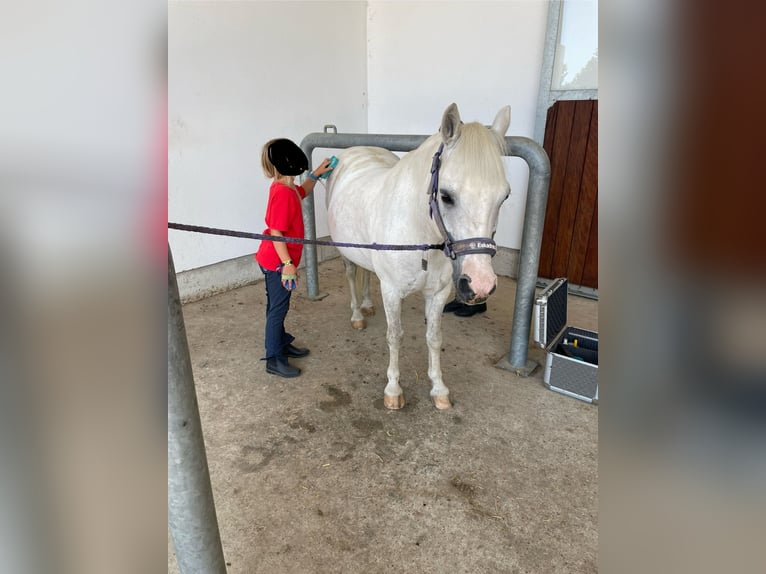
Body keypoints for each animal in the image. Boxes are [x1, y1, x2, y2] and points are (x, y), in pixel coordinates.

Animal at [325, 103, 511, 410]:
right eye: (446, 196)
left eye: (505, 196)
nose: (480, 284)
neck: (422, 236)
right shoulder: (391, 291)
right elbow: (395, 337)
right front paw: (393, 391)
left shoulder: (438, 293)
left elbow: (434, 338)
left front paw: (439, 389)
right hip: (346, 253)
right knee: (352, 275)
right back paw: (357, 315)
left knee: (366, 275)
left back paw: (367, 305)